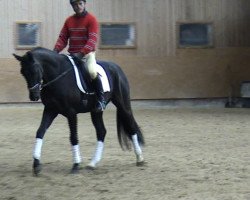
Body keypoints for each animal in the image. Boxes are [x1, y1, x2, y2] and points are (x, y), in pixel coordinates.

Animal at [13, 47, 145, 175]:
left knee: (131, 126)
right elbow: (40, 132)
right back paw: (93, 163)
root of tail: (117, 68)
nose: (34, 96)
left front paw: (76, 165)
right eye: (23, 72)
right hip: (96, 111)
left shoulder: (71, 113)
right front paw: (36, 164)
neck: (58, 75)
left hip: (122, 104)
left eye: (34, 70)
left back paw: (140, 158)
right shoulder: (50, 110)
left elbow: (73, 137)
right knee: (101, 131)